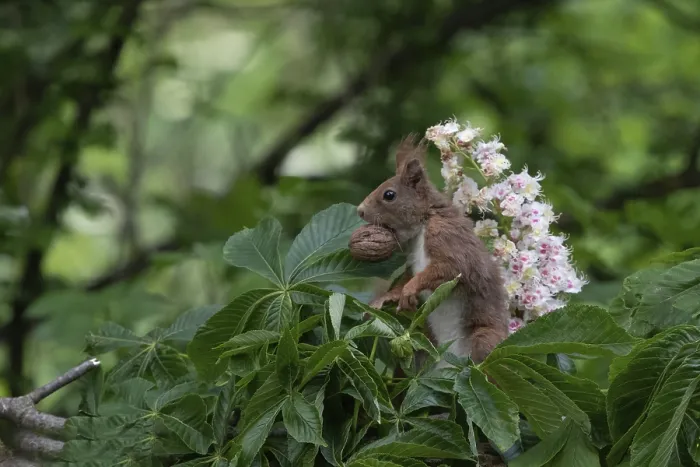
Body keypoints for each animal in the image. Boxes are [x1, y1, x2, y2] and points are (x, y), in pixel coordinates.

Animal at [356, 135, 509, 364]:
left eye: (389, 195)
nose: (360, 211)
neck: (423, 223)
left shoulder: (447, 240)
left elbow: (449, 268)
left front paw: (410, 290)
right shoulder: (412, 258)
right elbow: (405, 279)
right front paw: (387, 297)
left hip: (484, 339)